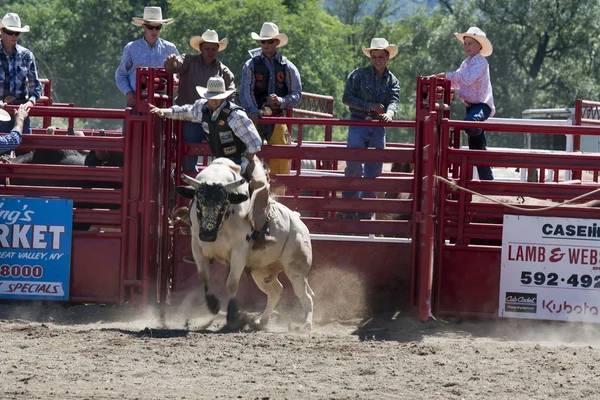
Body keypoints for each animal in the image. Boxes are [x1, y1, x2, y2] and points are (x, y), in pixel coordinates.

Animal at [173, 158, 314, 330]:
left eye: (223, 205)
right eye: (198, 204)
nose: (207, 234)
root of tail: (299, 221)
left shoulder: (238, 252)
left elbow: (232, 283)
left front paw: (232, 315)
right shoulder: (197, 247)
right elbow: (204, 277)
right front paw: (213, 304)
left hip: (296, 268)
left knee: (305, 295)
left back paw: (306, 324)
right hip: (261, 271)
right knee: (275, 291)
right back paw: (261, 322)